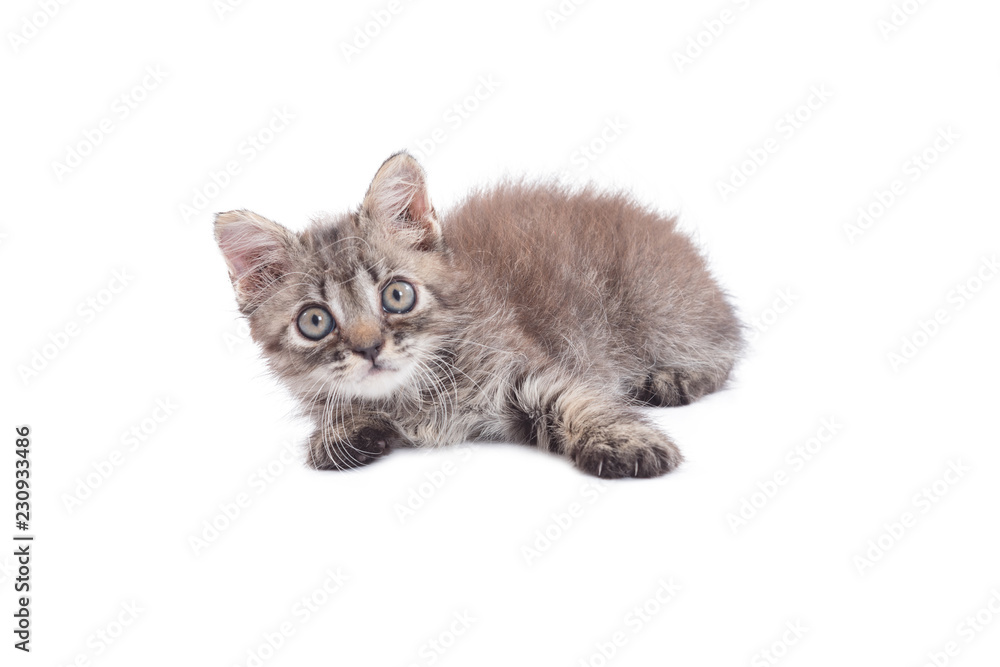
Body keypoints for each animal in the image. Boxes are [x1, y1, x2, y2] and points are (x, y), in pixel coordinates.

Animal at [215, 154, 744, 478]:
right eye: (315, 322)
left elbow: (578, 400)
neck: (411, 396)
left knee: (724, 349)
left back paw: (675, 378)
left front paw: (626, 441)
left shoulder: (528, 367)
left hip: (663, 309)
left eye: (397, 295)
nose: (369, 348)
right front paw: (341, 434)